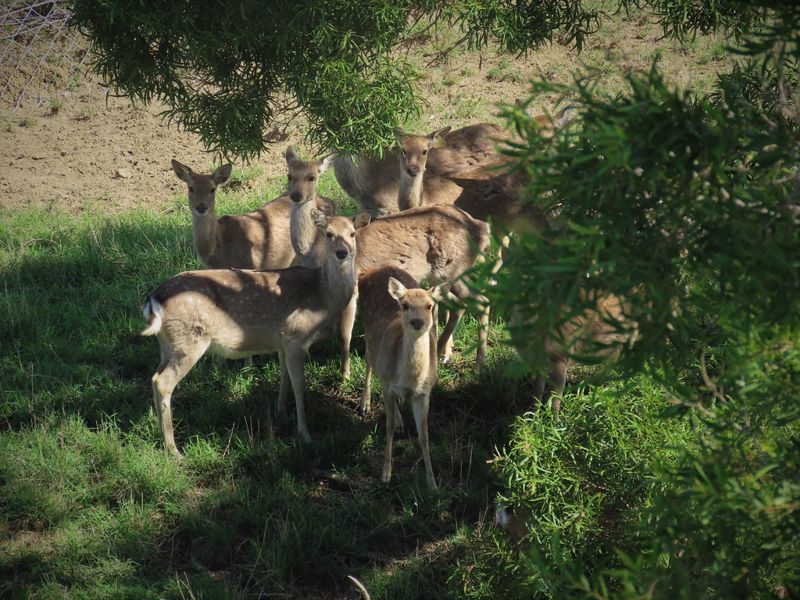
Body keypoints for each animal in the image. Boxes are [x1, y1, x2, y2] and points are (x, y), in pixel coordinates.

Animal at [140, 210, 365, 455]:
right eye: (329, 234)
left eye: (352, 233)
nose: (342, 253)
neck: (323, 297)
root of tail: (154, 300)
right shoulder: (296, 335)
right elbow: (299, 384)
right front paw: (305, 435)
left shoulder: (282, 340)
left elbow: (284, 376)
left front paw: (280, 412)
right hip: (189, 340)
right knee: (163, 383)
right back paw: (173, 450)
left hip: (167, 343)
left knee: (153, 378)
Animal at [358, 267, 439, 489]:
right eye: (405, 305)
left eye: (429, 306)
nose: (417, 322)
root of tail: (369, 272)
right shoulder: (388, 384)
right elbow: (389, 427)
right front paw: (386, 474)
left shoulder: (425, 393)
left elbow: (424, 435)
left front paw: (432, 482)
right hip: (368, 331)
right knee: (369, 361)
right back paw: (365, 403)